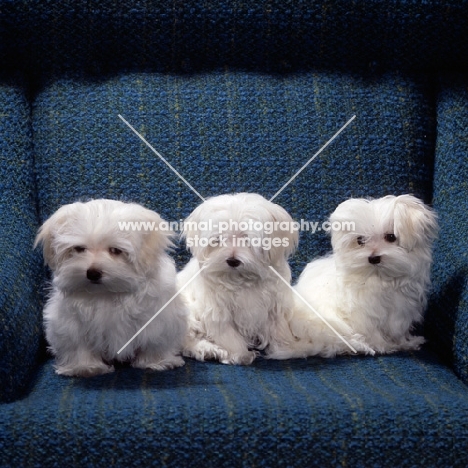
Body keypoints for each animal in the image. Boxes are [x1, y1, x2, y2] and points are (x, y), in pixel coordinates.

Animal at [33, 198, 187, 376]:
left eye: (115, 250)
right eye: (79, 249)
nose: (93, 273)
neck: (107, 293)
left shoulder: (158, 320)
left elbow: (154, 340)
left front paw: (156, 362)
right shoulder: (71, 324)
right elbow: (78, 344)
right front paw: (85, 367)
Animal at [177, 192, 298, 364]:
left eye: (247, 239)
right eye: (218, 239)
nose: (233, 260)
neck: (241, 279)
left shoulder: (275, 306)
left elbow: (278, 327)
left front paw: (286, 349)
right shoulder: (218, 311)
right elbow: (229, 335)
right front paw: (241, 355)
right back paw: (208, 350)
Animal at [276, 195, 436, 358]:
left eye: (391, 237)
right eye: (360, 241)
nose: (373, 258)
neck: (380, 279)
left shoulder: (401, 312)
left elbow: (398, 331)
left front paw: (406, 343)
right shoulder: (365, 315)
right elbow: (373, 332)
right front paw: (384, 346)